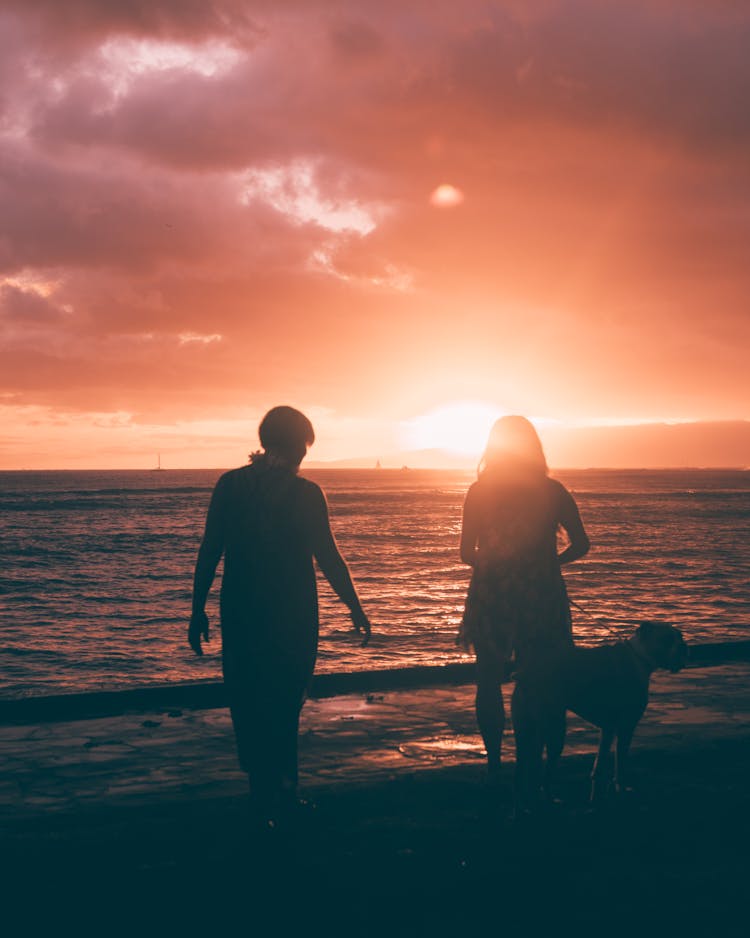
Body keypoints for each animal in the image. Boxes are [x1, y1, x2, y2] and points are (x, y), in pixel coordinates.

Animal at [516, 616, 692, 808]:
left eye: (680, 636)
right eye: (666, 639)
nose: (683, 646)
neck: (638, 657)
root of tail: (527, 674)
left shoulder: (608, 729)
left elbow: (600, 764)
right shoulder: (625, 728)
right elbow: (620, 764)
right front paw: (620, 789)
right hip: (553, 730)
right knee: (542, 773)